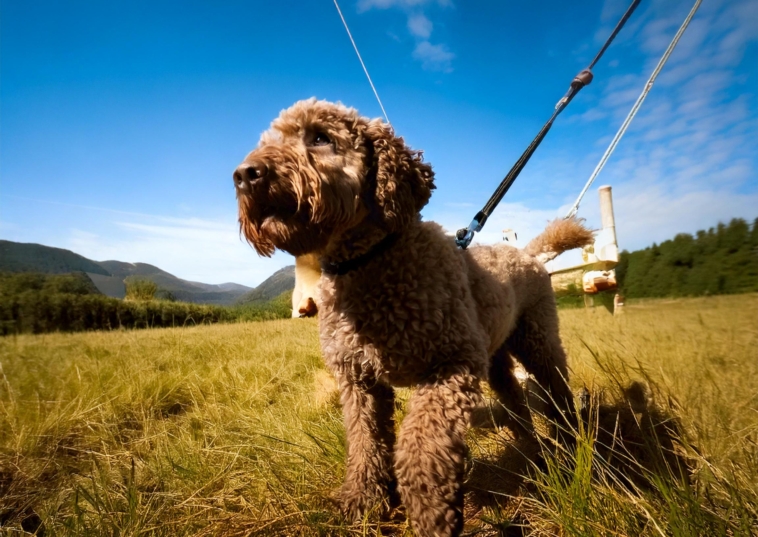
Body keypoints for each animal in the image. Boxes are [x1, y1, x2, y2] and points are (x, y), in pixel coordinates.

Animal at [233, 98, 592, 532]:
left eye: (319, 137)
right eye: (268, 140)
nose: (244, 174)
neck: (370, 261)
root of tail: (527, 253)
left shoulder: (451, 365)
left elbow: (422, 440)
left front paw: (429, 507)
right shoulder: (359, 381)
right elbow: (365, 442)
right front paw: (364, 499)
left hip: (537, 341)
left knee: (558, 393)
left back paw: (570, 443)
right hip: (495, 358)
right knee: (517, 402)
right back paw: (528, 449)